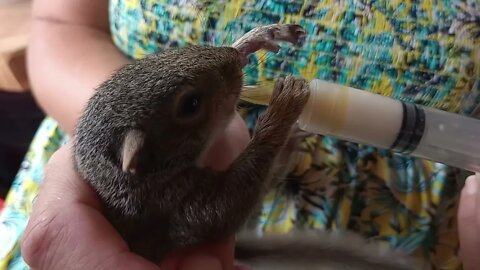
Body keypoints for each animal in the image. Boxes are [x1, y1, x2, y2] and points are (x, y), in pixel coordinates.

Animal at [73, 24, 418, 268]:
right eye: (191, 104)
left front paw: (255, 39)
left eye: (165, 56)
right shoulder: (172, 205)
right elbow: (228, 204)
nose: (230, 57)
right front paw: (284, 105)